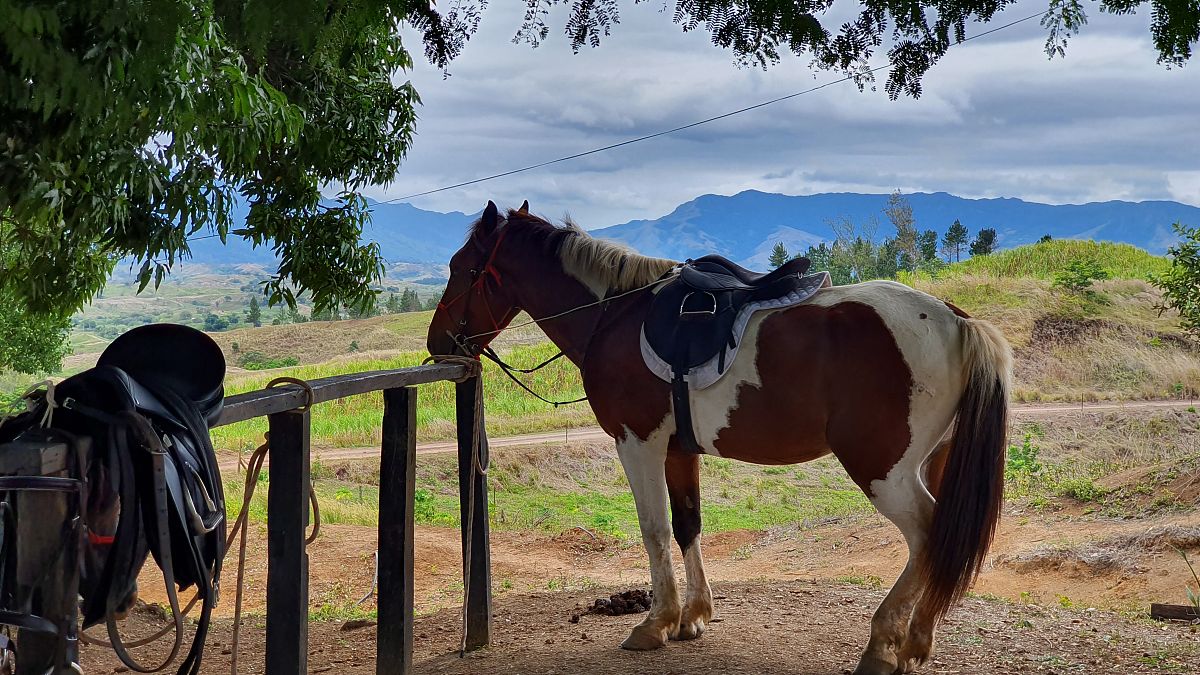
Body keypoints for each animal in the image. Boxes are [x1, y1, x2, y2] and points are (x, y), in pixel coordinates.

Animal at [427, 201, 1012, 675]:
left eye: (461, 269)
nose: (437, 344)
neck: (616, 315)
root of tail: (956, 321)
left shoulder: (637, 442)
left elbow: (655, 529)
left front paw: (656, 622)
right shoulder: (677, 449)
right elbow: (688, 525)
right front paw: (692, 617)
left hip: (883, 469)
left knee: (928, 534)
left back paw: (883, 641)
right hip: (931, 462)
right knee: (943, 541)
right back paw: (917, 640)